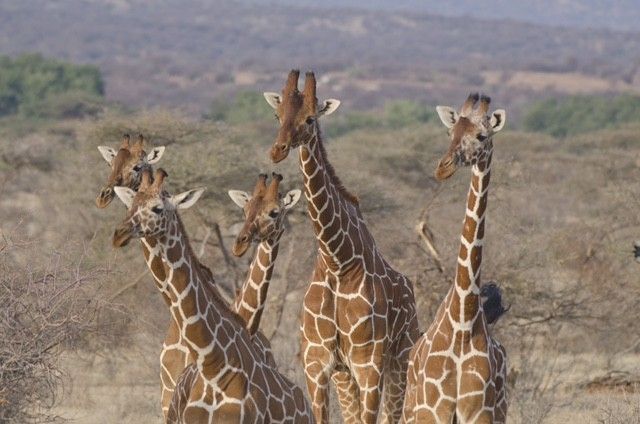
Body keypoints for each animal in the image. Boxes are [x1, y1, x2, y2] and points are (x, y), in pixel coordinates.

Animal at [263, 70, 421, 423]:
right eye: (278, 116)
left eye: (310, 119)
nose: (278, 150)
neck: (338, 261)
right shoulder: (318, 365)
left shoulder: (369, 365)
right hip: (345, 375)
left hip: (399, 360)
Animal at [401, 94, 509, 424]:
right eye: (450, 133)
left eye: (482, 136)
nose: (442, 168)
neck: (463, 322)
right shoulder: (433, 412)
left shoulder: (479, 413)